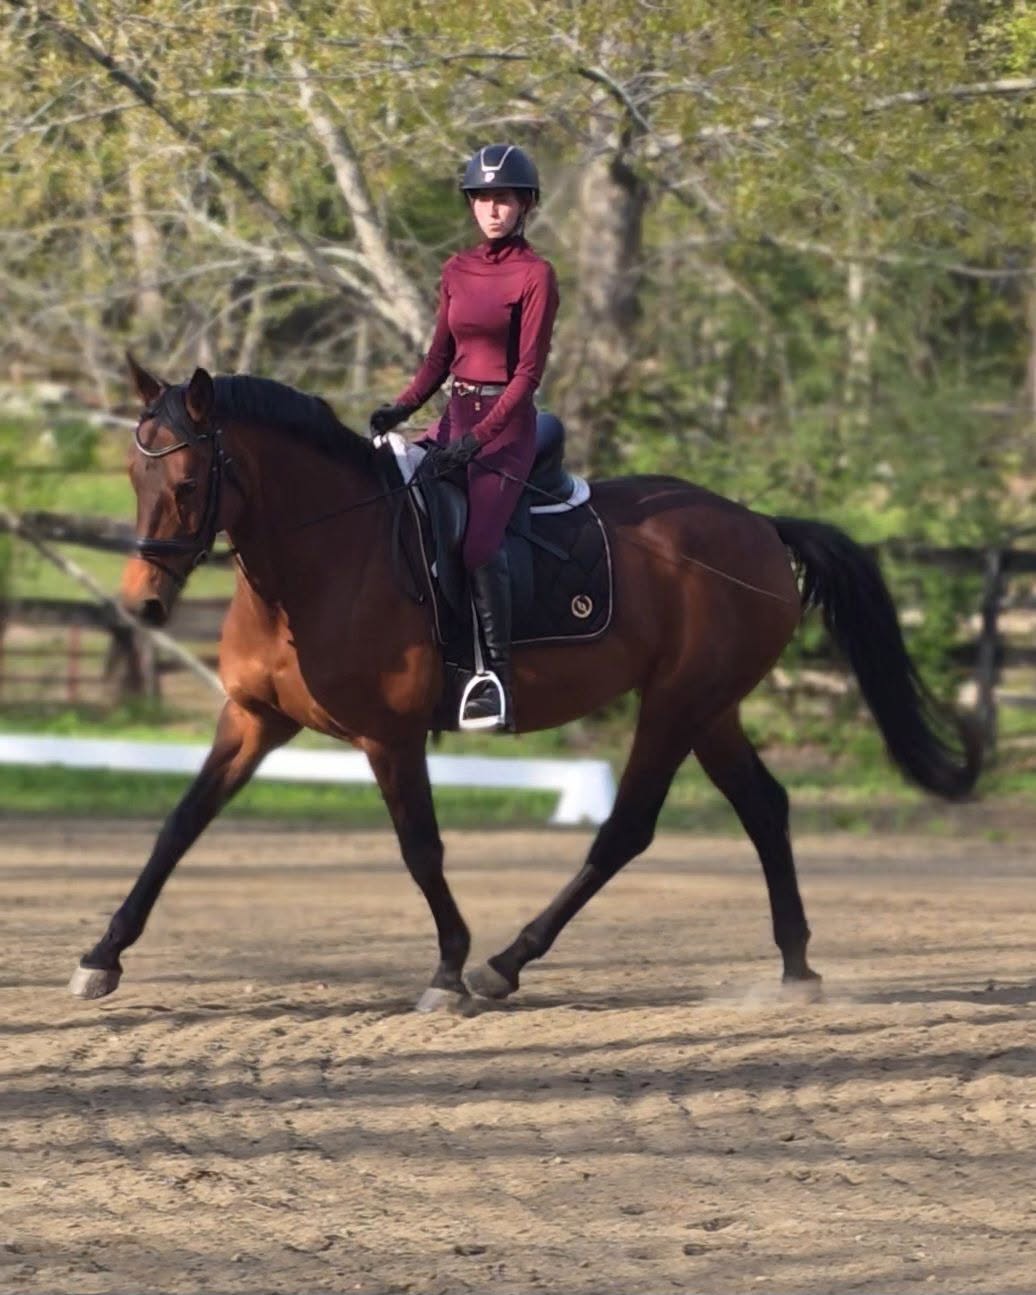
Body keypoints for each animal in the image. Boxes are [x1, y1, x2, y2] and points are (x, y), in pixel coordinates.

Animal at [69, 356, 980, 1010]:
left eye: (188, 483)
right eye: (134, 477)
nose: (143, 603)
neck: (321, 560)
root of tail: (758, 524)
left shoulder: (388, 736)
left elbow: (421, 847)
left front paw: (449, 969)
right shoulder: (254, 718)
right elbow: (181, 824)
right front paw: (101, 956)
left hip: (677, 703)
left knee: (627, 828)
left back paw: (507, 961)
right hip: (711, 707)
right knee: (764, 806)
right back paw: (796, 968)